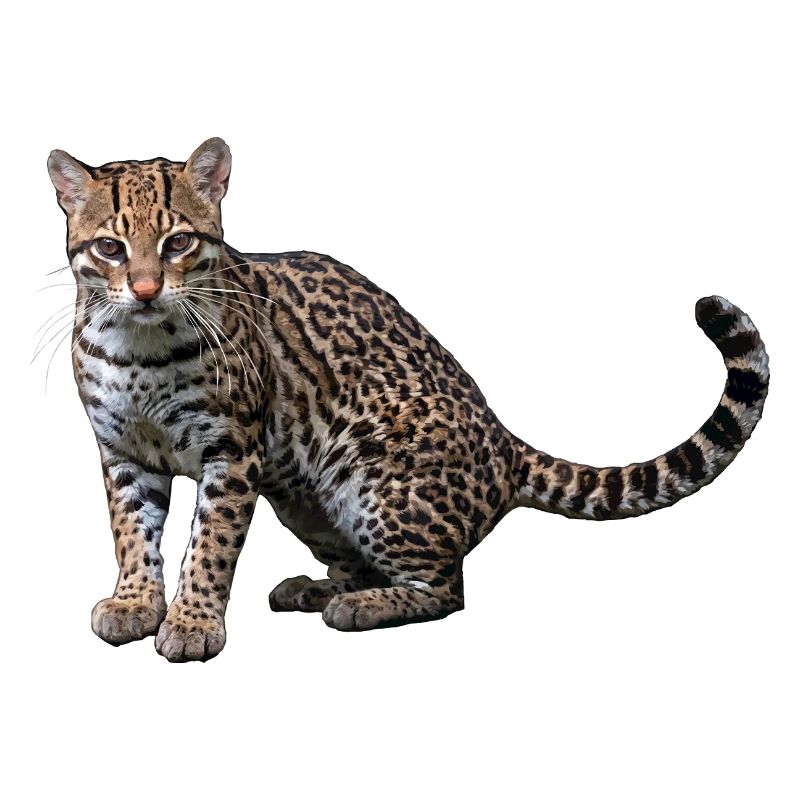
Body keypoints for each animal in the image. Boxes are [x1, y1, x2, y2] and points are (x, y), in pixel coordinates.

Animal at [45, 137, 770, 661]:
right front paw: (135, 603)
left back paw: (359, 607)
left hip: (371, 484)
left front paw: (193, 621)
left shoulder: (233, 449)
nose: (144, 289)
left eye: (178, 243)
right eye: (110, 248)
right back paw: (318, 587)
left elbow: (210, 544)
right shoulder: (122, 452)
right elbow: (132, 533)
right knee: (364, 565)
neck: (139, 347)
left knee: (447, 588)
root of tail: (506, 443)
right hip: (305, 499)